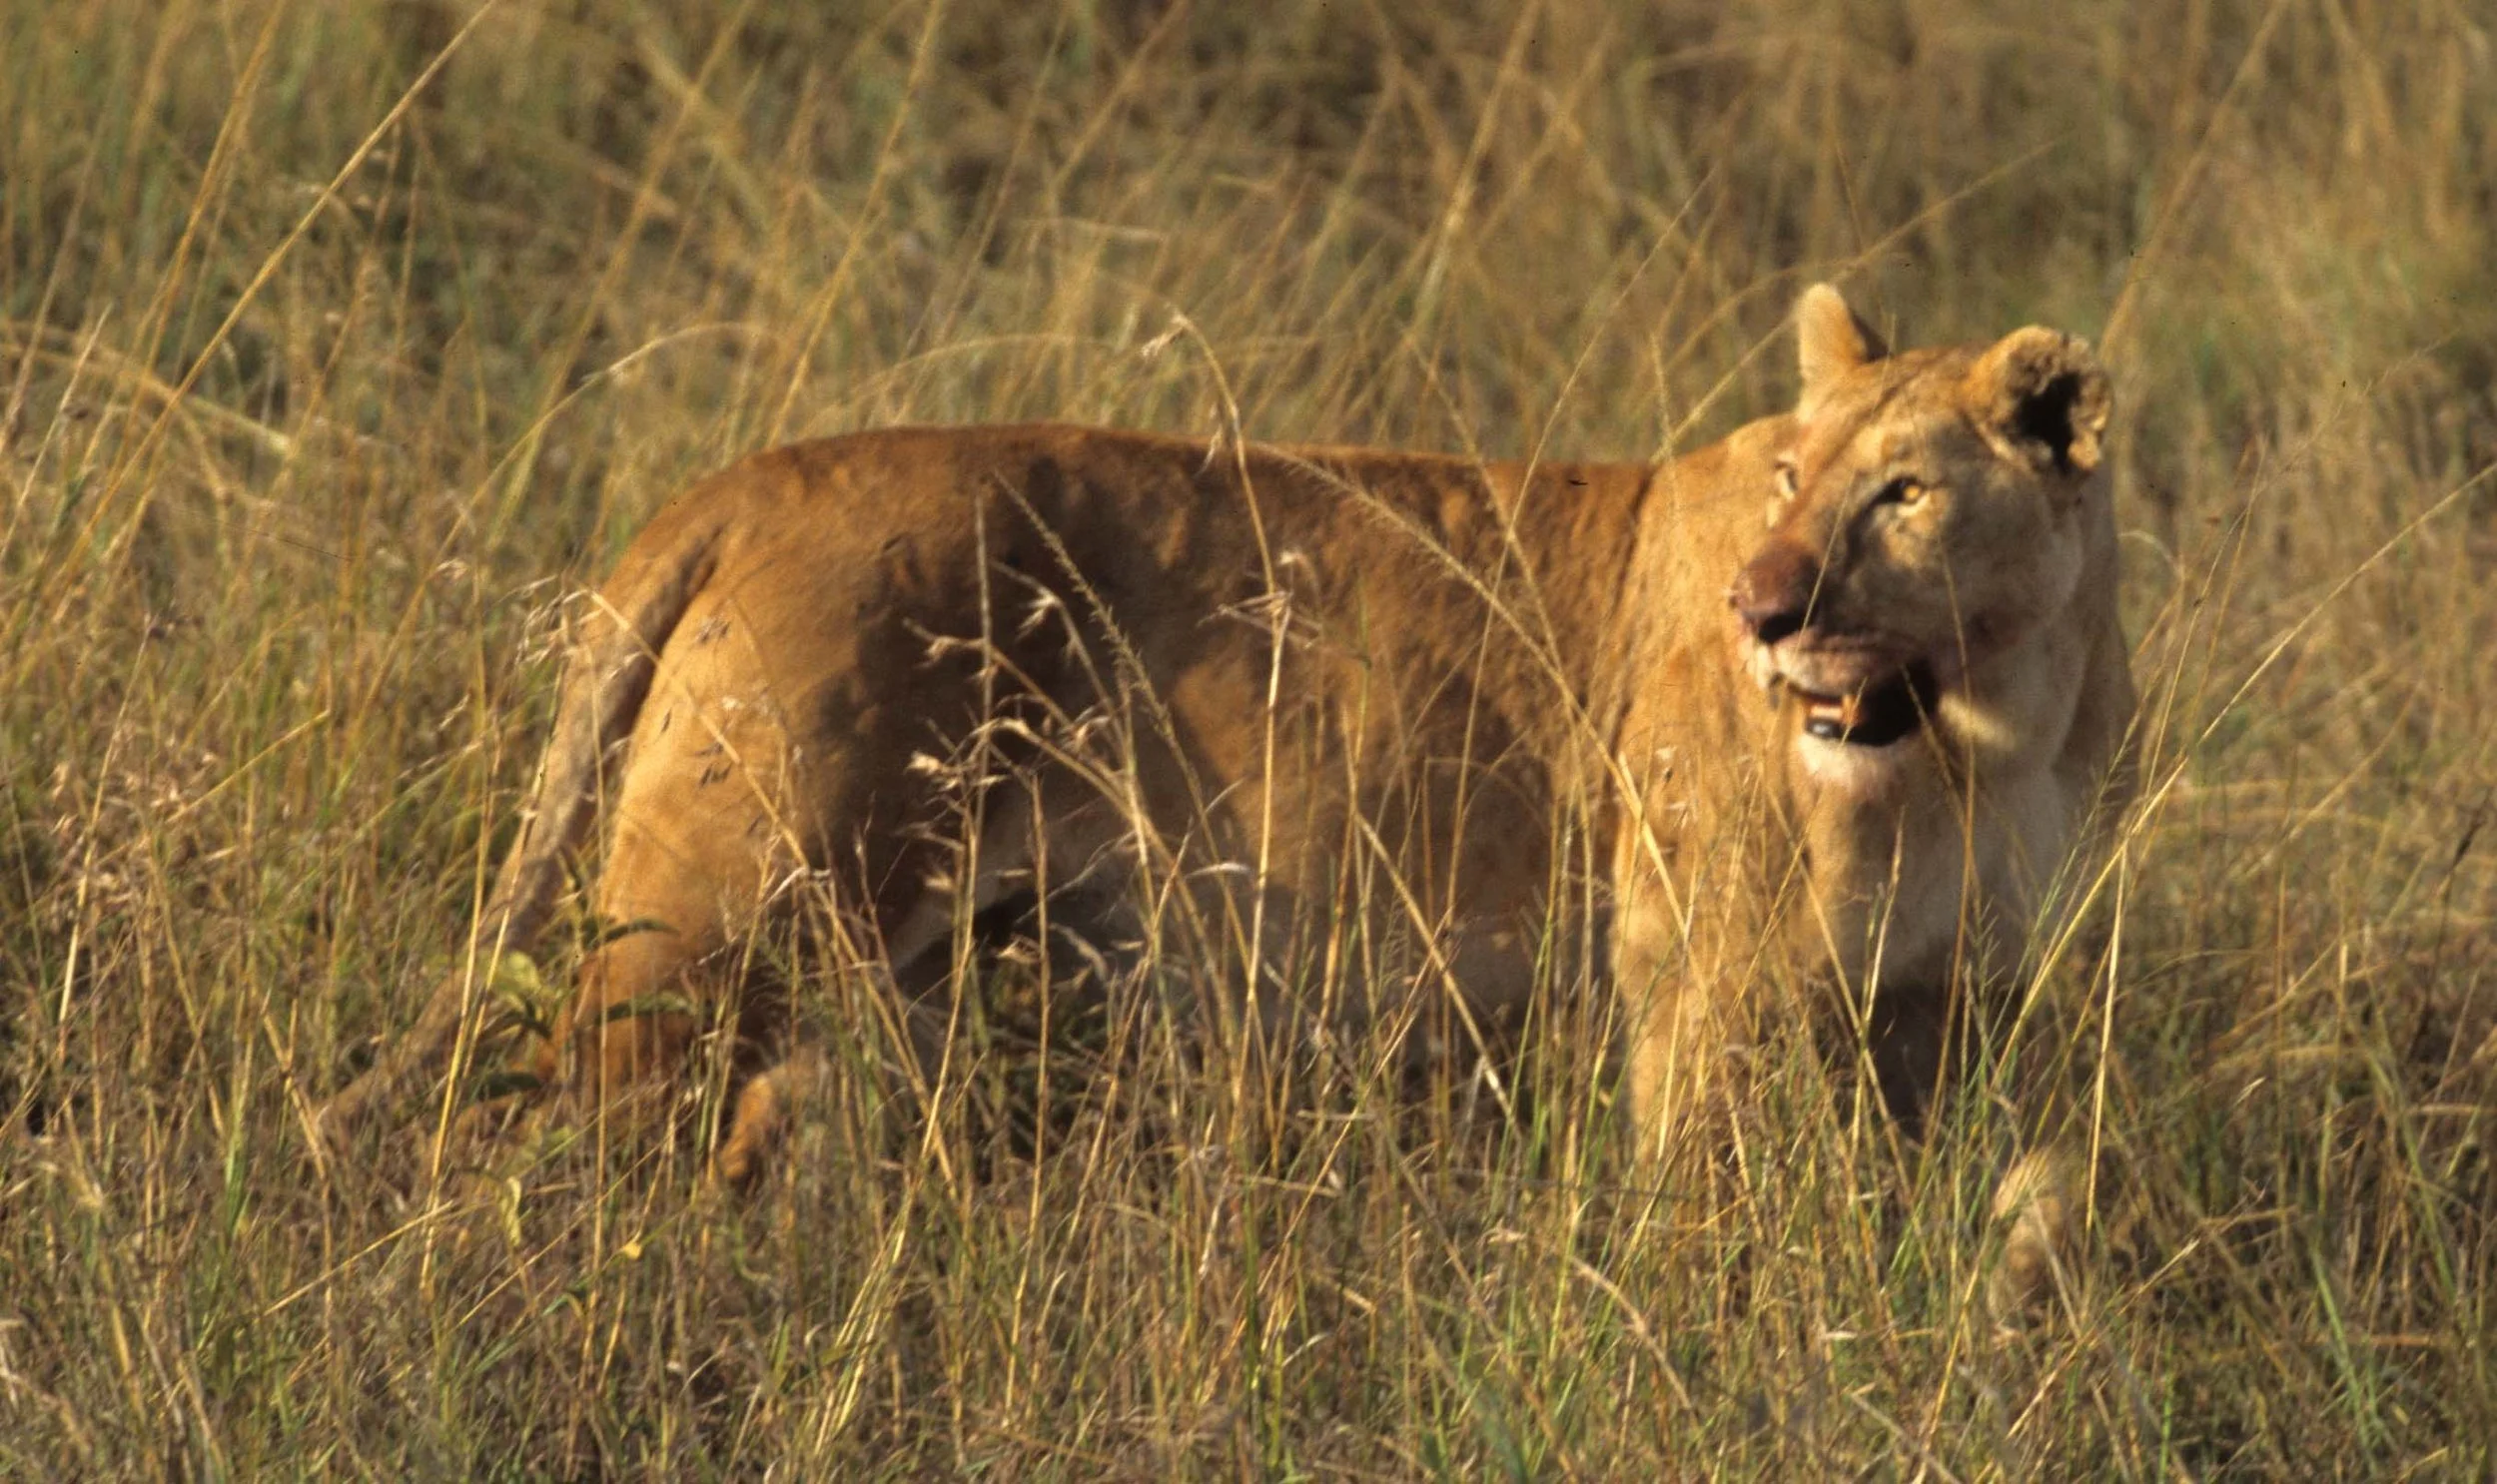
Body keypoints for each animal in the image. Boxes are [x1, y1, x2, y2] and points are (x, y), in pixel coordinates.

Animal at [320, 285, 2132, 1309]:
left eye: (1903, 496)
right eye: (1789, 478)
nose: (1765, 607)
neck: (1978, 733)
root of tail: (752, 475)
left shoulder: (1944, 1004)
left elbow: (1938, 1208)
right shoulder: (1710, 979)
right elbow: (1710, 1214)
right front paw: (1717, 1357)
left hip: (867, 959)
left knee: (746, 1129)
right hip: (718, 921)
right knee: (537, 1123)